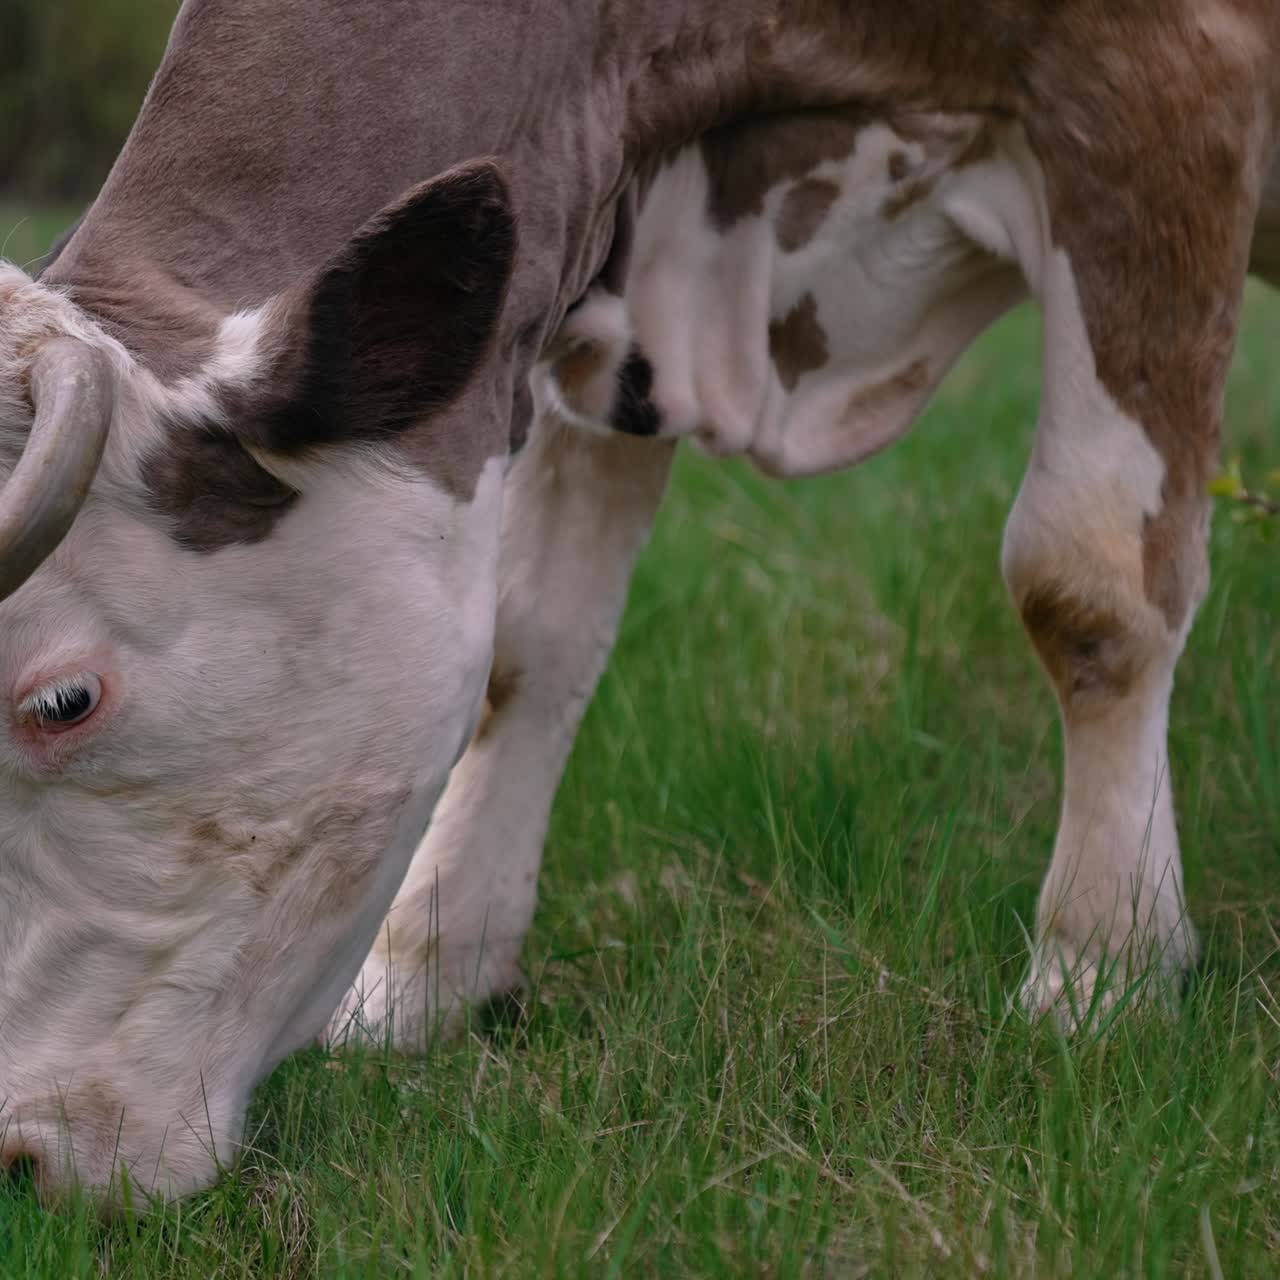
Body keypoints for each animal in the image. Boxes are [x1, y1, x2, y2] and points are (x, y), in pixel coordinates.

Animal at [0, 0, 1277, 1206]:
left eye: (63, 700)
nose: (15, 1158)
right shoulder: (611, 264)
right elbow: (531, 633)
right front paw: (429, 975)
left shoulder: (1162, 97)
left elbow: (1087, 586)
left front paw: (1101, 967)